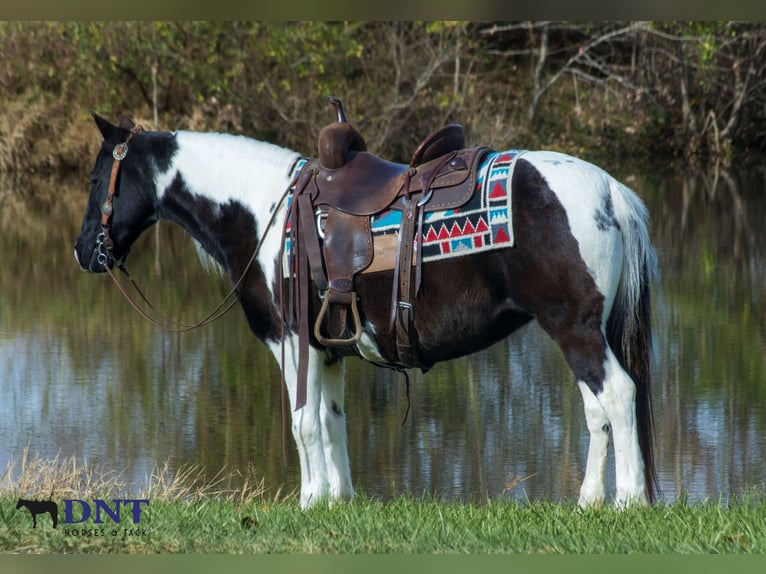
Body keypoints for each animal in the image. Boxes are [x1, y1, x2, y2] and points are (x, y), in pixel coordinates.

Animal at [74, 112, 659, 508]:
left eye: (97, 179)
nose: (84, 253)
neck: (263, 212)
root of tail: (611, 191)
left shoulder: (292, 342)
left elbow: (303, 423)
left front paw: (309, 501)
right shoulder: (327, 349)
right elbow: (332, 420)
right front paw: (338, 499)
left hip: (575, 328)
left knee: (617, 396)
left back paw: (628, 501)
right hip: (582, 331)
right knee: (597, 411)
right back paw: (589, 501)